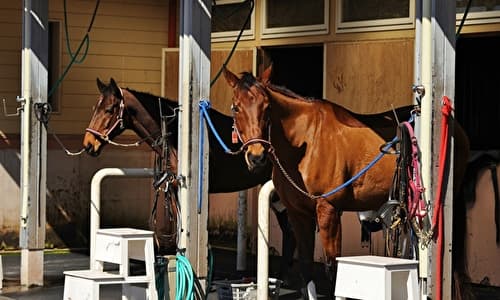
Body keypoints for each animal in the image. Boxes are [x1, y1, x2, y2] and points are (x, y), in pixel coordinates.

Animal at [225, 65, 470, 298]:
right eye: (236, 107)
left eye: (267, 107)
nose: (257, 156)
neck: (307, 144)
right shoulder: (298, 214)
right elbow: (306, 267)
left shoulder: (329, 211)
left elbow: (333, 270)